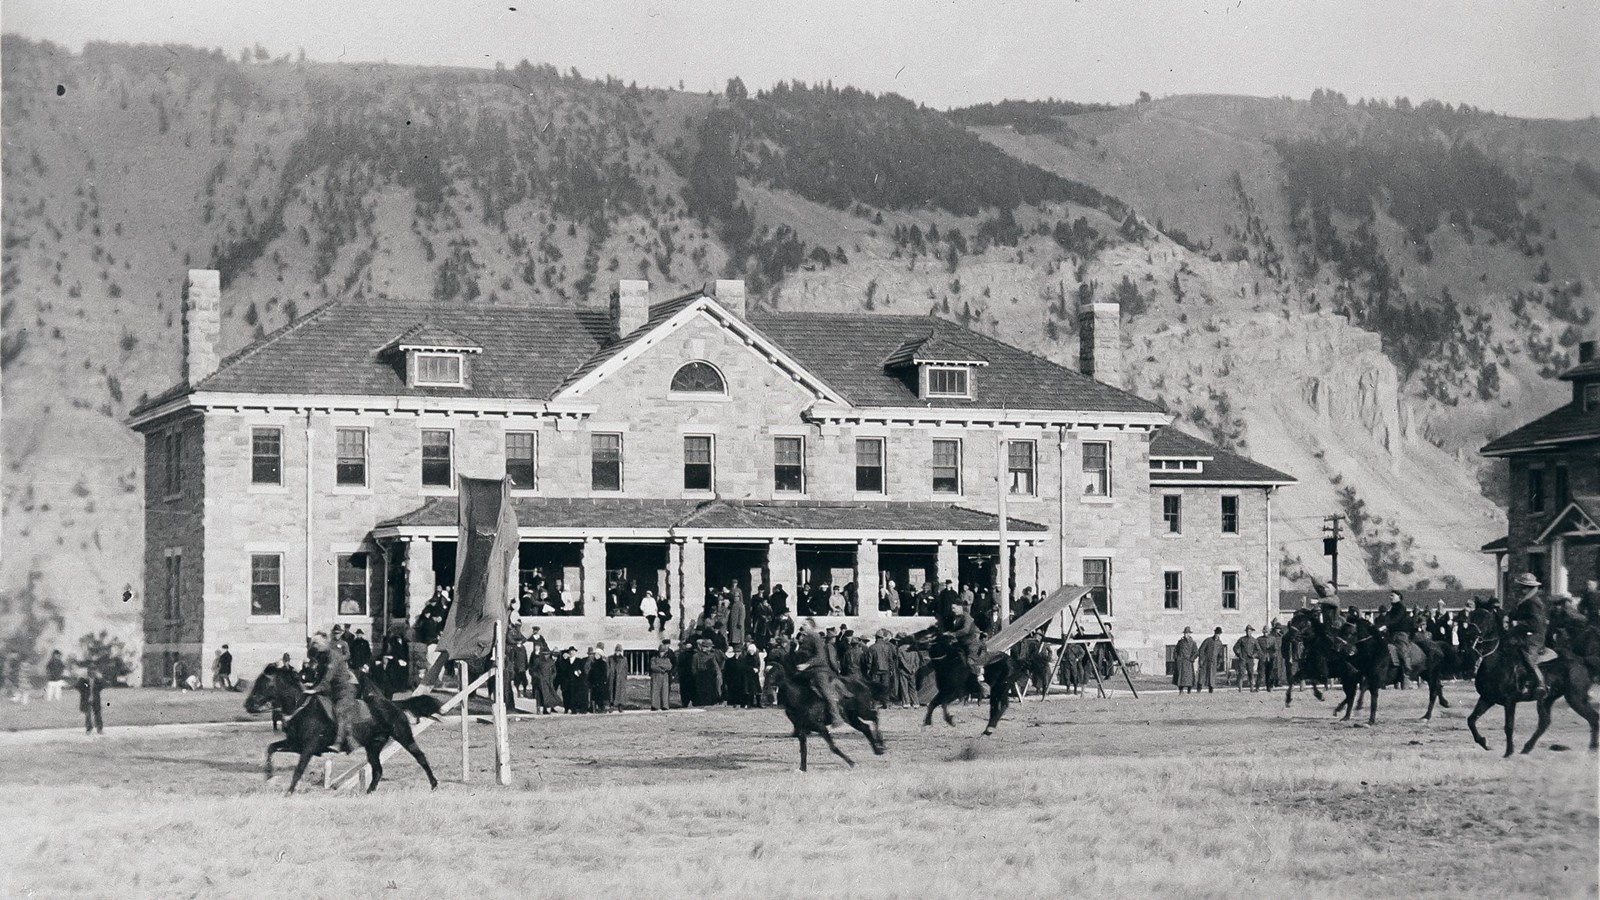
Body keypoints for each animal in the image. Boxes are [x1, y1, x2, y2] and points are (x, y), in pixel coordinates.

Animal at [240, 659, 438, 791]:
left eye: (264, 683)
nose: (248, 705)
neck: (301, 709)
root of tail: (394, 704)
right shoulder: (295, 744)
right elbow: (271, 748)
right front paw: (269, 776)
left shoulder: (308, 748)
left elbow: (299, 769)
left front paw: (288, 792)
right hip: (373, 746)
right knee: (377, 770)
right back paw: (368, 792)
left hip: (403, 735)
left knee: (420, 757)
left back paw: (434, 784)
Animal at [1465, 602, 1600, 755]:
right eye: (1473, 615)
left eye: (1485, 617)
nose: (1468, 633)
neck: (1497, 663)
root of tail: (1582, 661)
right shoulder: (1487, 699)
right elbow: (1471, 720)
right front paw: (1484, 742)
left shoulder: (1509, 701)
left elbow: (1509, 726)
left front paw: (1508, 752)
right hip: (1547, 699)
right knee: (1544, 723)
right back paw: (1527, 748)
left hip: (1575, 698)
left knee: (1593, 717)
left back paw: (1592, 749)